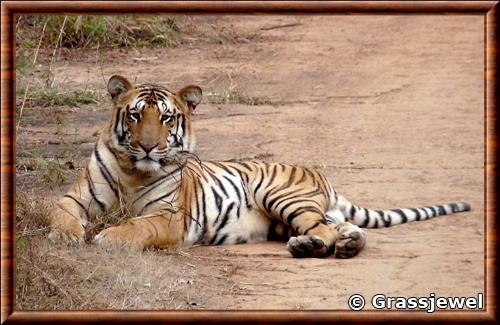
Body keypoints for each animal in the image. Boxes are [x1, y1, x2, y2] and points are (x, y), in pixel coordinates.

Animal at [45, 74, 470, 258]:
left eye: (166, 119)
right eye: (135, 115)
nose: (148, 146)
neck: (135, 171)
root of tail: (318, 173)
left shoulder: (170, 217)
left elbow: (138, 226)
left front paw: (108, 237)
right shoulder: (76, 199)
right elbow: (60, 213)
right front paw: (65, 236)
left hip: (282, 196)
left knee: (330, 232)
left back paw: (325, 248)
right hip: (291, 217)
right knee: (342, 229)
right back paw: (324, 244)